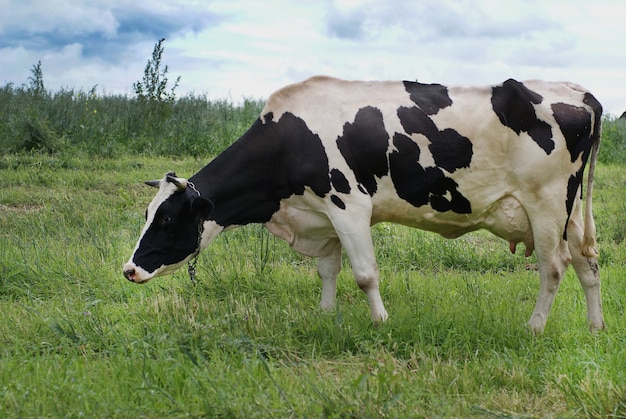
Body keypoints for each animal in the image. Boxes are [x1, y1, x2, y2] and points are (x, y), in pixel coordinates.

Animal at [119, 76, 604, 334]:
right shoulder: (322, 213)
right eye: (147, 214)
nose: (129, 269)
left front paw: (380, 322)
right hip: (571, 210)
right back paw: (596, 326)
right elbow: (328, 270)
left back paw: (535, 327)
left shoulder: (347, 203)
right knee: (588, 262)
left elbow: (365, 274)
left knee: (554, 266)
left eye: (166, 219)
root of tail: (580, 92)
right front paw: (325, 314)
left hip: (545, 203)